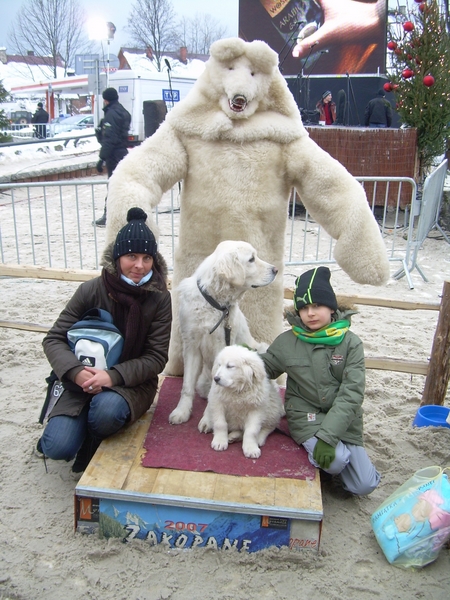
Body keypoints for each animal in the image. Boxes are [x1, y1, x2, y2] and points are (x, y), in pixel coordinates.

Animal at [169, 237, 278, 424]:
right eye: (251, 259)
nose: (275, 270)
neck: (214, 303)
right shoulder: (191, 346)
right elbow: (187, 386)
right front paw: (181, 411)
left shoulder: (222, 348)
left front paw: (208, 419)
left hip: (259, 349)